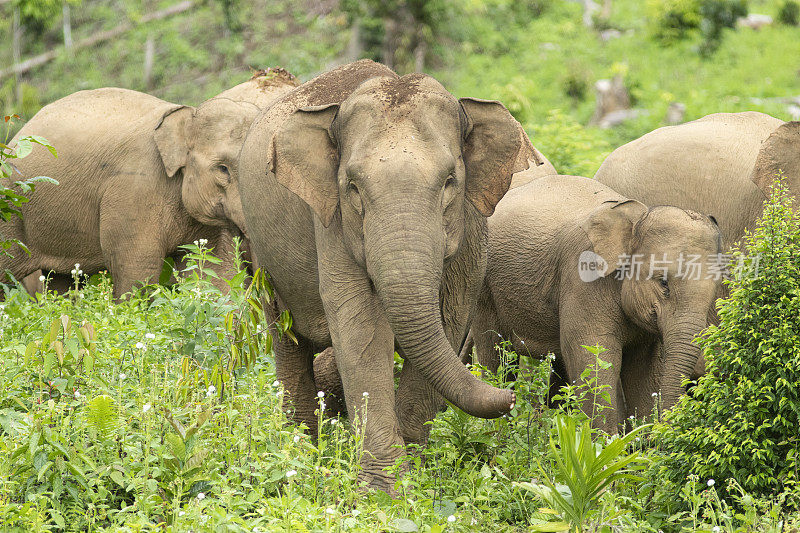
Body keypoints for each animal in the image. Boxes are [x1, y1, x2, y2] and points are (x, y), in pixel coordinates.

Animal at [236, 60, 552, 492]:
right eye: (353, 187)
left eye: (450, 181)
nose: (510, 396)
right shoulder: (333, 224)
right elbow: (361, 326)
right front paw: (384, 490)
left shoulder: (471, 225)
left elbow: (450, 317)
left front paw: (413, 474)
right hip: (260, 254)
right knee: (287, 341)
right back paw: (302, 456)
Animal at [462, 175, 720, 432]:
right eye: (663, 283)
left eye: (715, 288)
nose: (664, 427)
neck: (638, 217)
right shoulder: (584, 277)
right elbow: (593, 357)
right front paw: (604, 441)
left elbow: (643, 369)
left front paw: (641, 439)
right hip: (484, 286)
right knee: (497, 355)